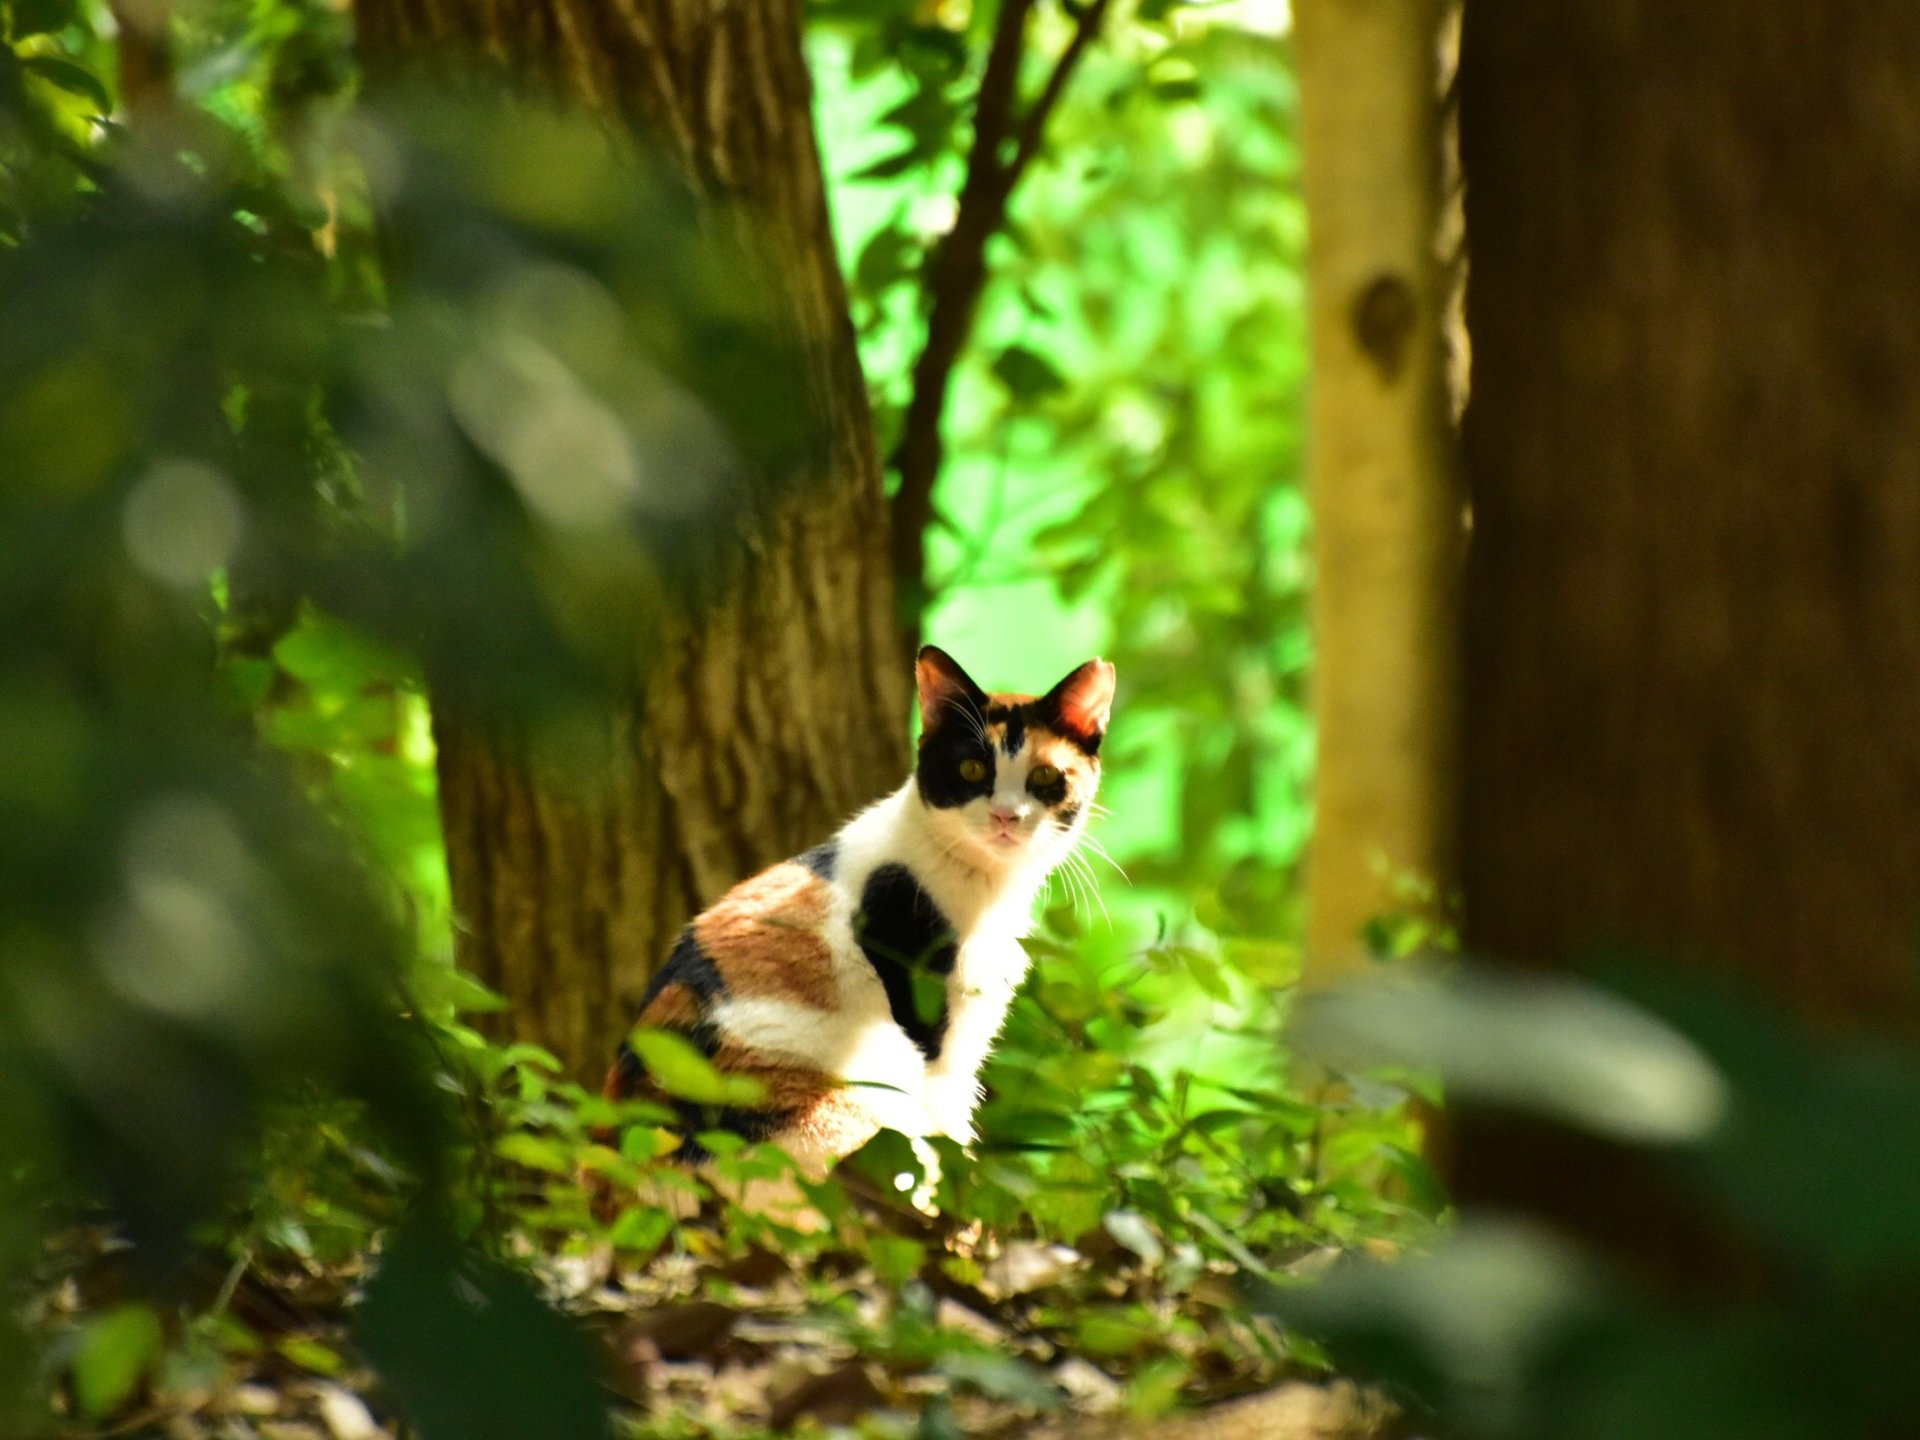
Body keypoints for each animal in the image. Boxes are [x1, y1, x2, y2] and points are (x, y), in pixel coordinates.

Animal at [599, 648, 1113, 1175]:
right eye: (971, 769)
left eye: (1045, 776)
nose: (1006, 815)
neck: (987, 885)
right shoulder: (930, 1017)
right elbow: (948, 1121)